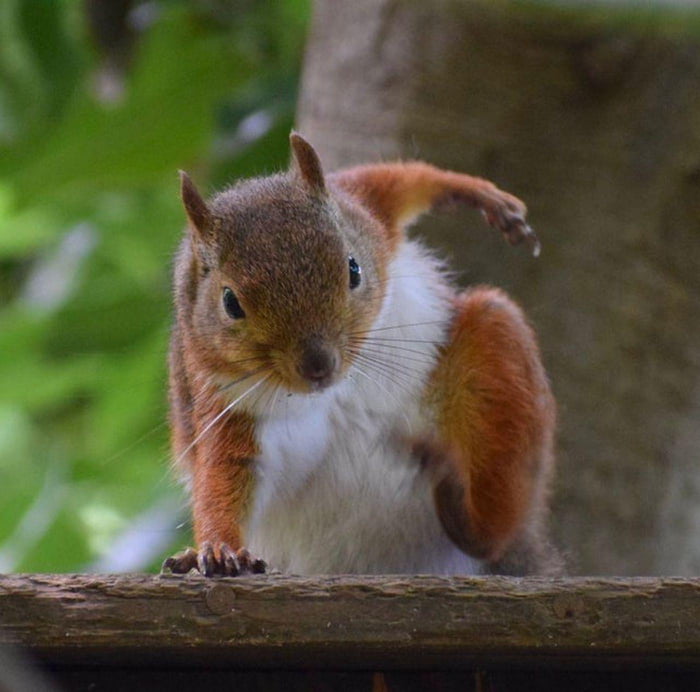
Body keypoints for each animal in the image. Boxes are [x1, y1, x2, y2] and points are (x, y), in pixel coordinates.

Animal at [163, 132, 561, 578]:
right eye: (230, 303)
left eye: (353, 269)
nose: (318, 366)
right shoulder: (225, 403)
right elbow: (225, 475)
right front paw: (219, 549)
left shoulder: (363, 208)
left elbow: (397, 180)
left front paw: (479, 193)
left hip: (496, 351)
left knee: (495, 525)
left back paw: (468, 511)